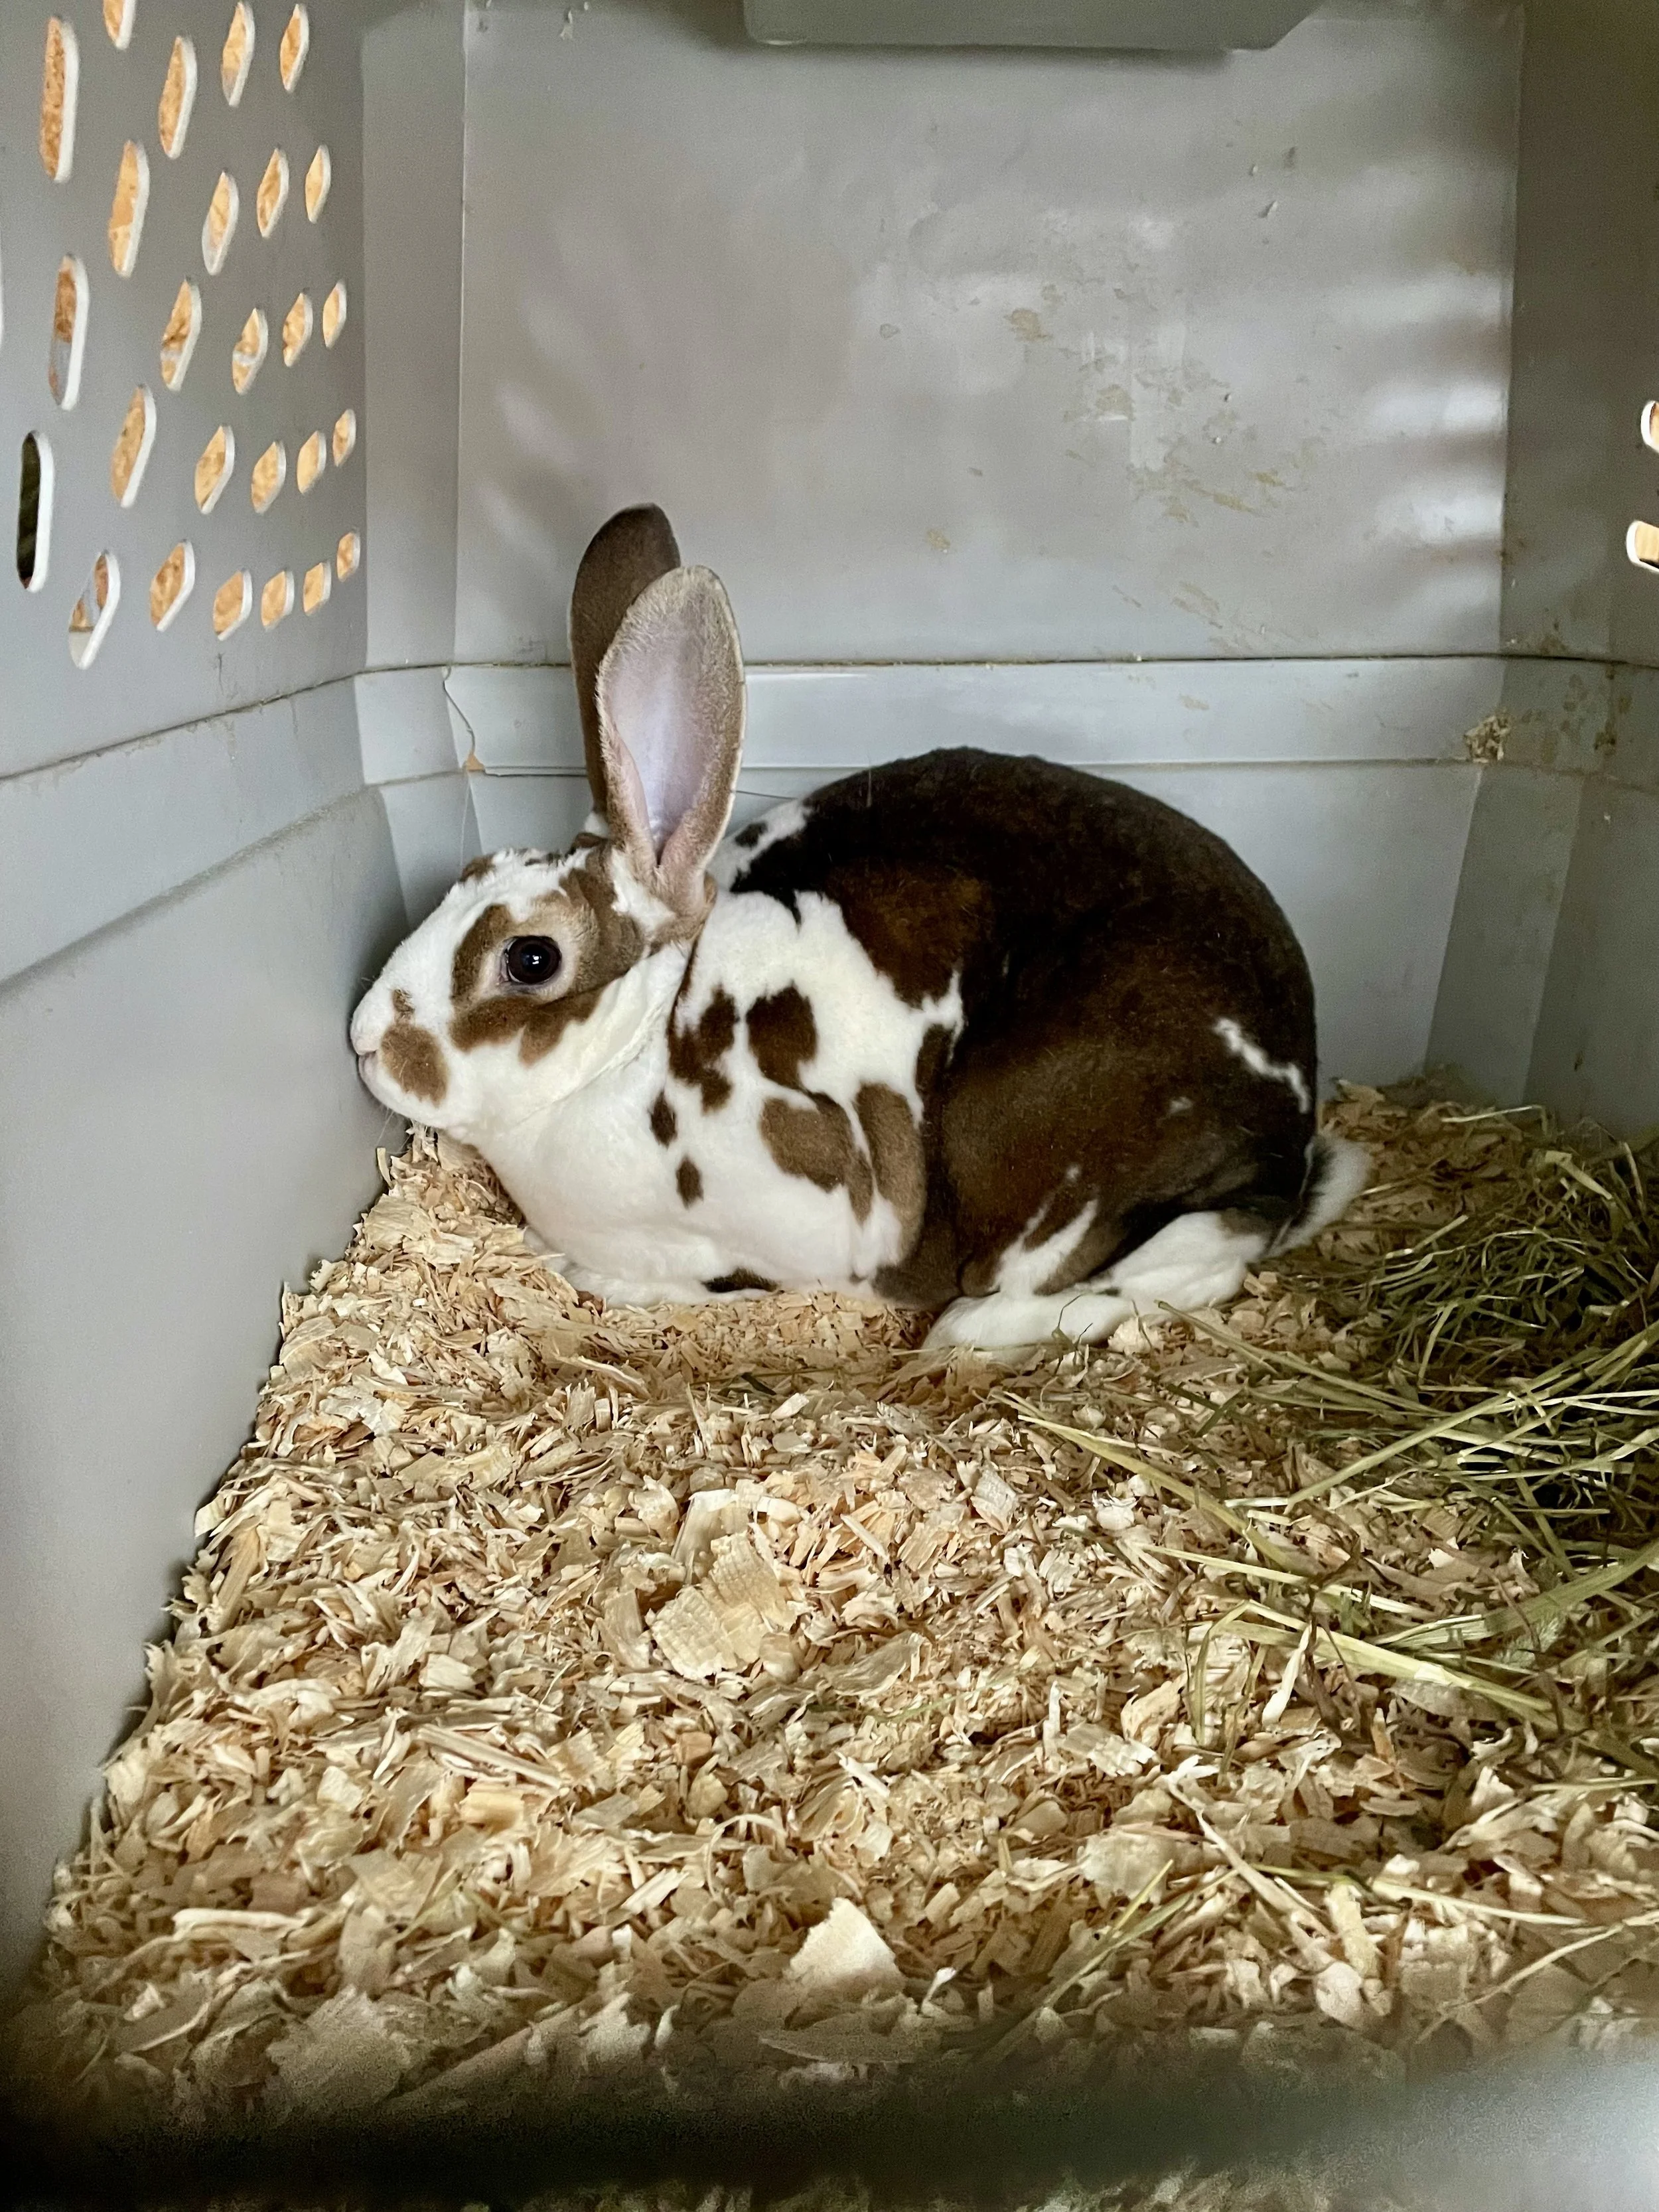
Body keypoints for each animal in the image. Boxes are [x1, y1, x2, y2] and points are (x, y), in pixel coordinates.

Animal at [351, 505, 1368, 1351]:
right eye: (467, 876)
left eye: (531, 958)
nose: (364, 1039)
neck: (638, 1044)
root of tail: (1290, 1129)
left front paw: (587, 1271)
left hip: (1059, 1167)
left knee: (1171, 1260)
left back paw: (979, 1331)